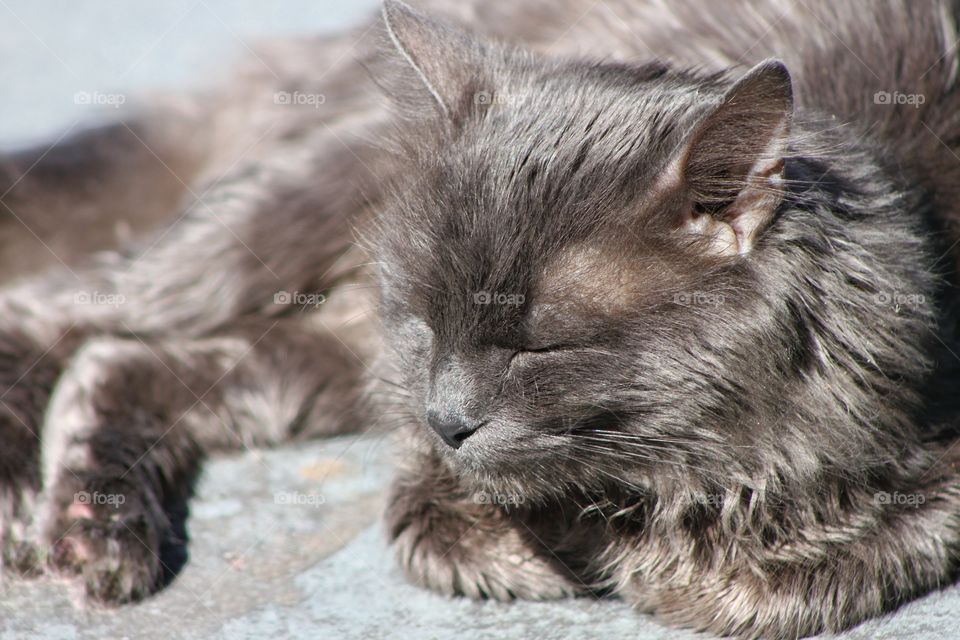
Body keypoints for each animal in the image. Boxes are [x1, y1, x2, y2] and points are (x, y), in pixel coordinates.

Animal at [1, 1, 960, 640]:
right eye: (427, 324)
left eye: (541, 348)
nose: (448, 418)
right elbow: (441, 520)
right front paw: (585, 547)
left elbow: (795, 578)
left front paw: (647, 555)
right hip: (279, 220)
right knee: (56, 312)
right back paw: (45, 515)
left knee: (121, 359)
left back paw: (95, 524)